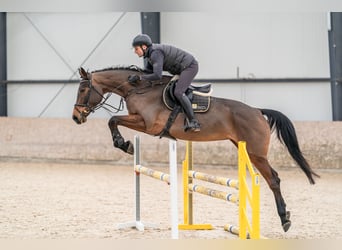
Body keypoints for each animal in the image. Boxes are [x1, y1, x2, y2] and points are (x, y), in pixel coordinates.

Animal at [72, 66, 320, 232]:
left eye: (83, 89)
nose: (76, 118)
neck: (139, 89)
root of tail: (258, 111)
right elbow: (113, 120)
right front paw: (125, 144)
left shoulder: (148, 125)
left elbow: (113, 119)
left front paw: (124, 145)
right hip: (246, 150)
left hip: (255, 154)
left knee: (274, 180)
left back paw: (285, 220)